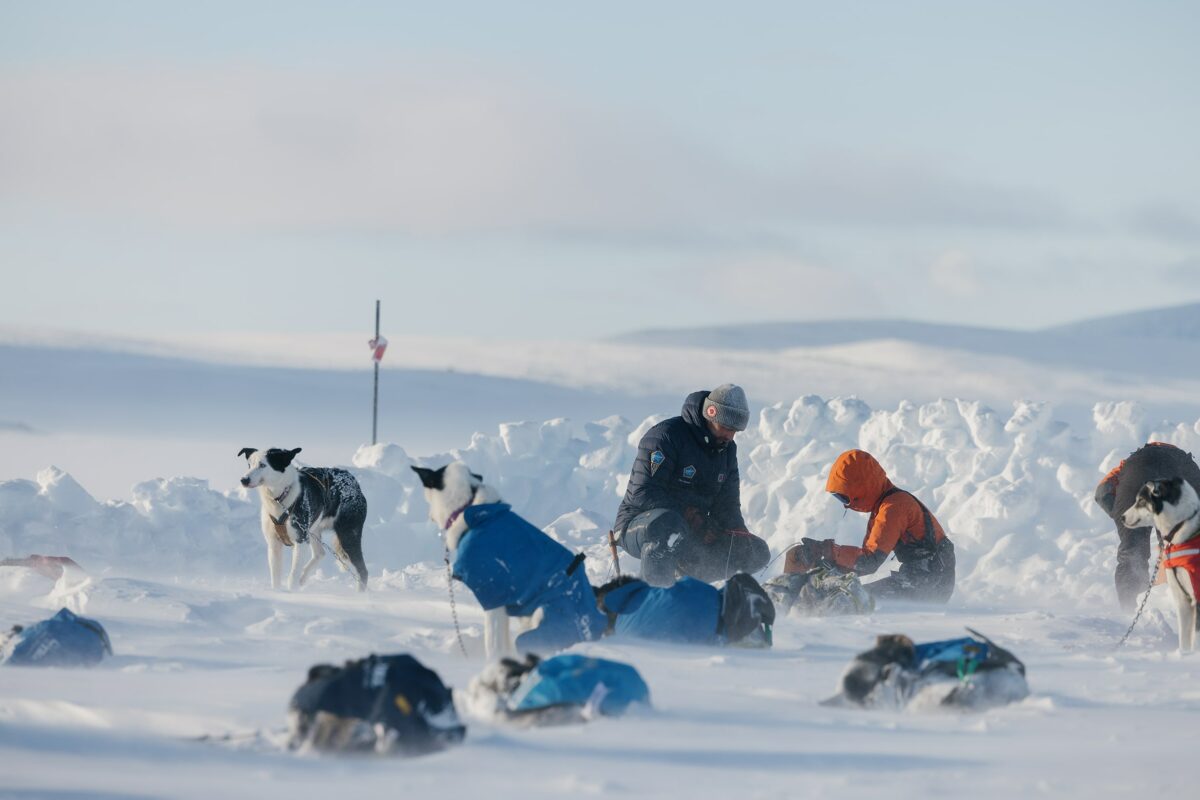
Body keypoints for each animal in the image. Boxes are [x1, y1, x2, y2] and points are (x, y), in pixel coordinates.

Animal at [234, 448, 364, 592]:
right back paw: (303, 578)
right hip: (313, 532)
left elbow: (293, 575)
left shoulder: (300, 540)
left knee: (362, 570)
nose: (243, 480)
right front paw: (277, 592)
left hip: (347, 536)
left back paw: (361, 594)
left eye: (262, 465)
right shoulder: (274, 544)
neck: (280, 499)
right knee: (320, 554)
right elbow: (276, 576)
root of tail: (353, 480)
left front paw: (292, 592)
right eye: (249, 465)